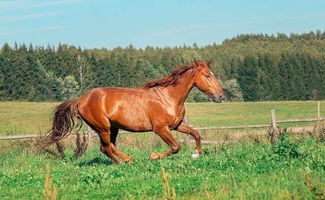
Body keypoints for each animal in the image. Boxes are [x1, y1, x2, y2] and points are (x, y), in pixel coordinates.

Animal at [44, 60, 224, 163]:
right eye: (207, 75)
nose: (222, 96)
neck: (168, 97)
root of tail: (81, 100)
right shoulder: (161, 129)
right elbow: (176, 147)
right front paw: (153, 156)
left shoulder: (176, 125)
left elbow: (196, 134)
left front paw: (197, 153)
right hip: (103, 127)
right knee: (105, 147)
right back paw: (124, 162)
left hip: (113, 127)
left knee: (109, 146)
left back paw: (127, 160)